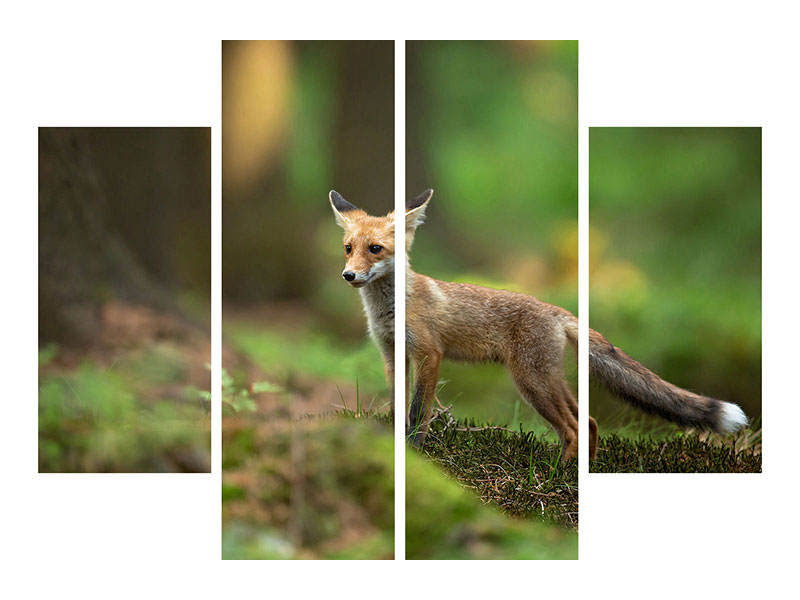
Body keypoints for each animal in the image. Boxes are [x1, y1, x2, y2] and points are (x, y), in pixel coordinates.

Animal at [326, 190, 752, 462]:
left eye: (375, 250)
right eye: (348, 248)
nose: (348, 276)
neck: (390, 309)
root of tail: (557, 310)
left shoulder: (430, 354)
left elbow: (418, 412)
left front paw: (414, 450)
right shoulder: (391, 354)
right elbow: (396, 405)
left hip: (531, 382)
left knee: (575, 426)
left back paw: (558, 477)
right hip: (546, 380)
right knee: (589, 421)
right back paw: (579, 472)